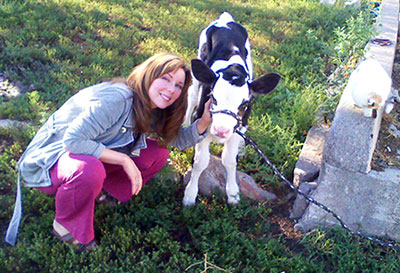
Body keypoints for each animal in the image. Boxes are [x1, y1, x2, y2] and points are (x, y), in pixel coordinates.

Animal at [183, 11, 280, 205]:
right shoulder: (202, 124)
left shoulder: (237, 129)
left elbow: (229, 161)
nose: (221, 130)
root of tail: (225, 19)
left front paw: (233, 195)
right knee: (191, 93)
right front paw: (189, 196)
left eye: (245, 104)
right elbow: (200, 162)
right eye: (213, 97)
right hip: (198, 70)